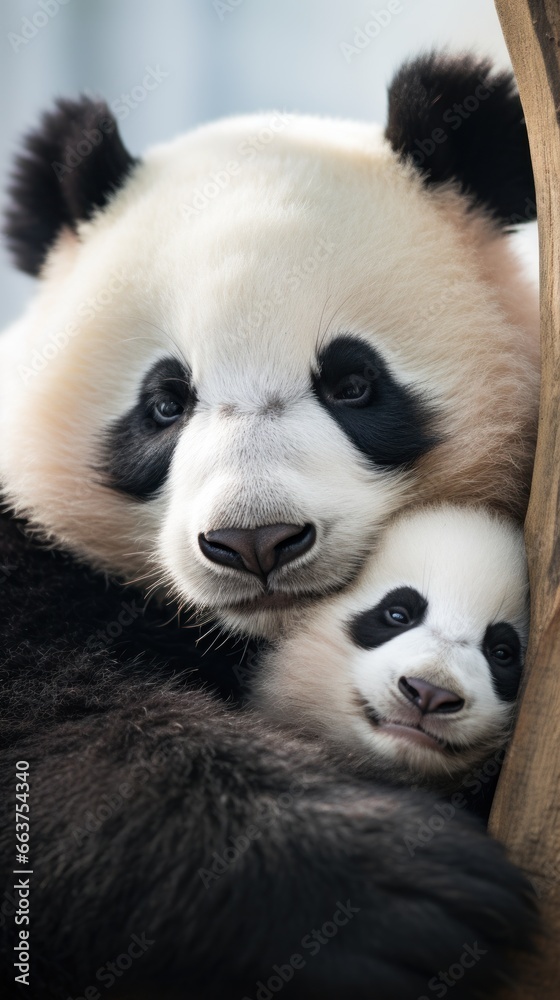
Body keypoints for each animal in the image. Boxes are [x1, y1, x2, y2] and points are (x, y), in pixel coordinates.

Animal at [0, 56, 540, 1000]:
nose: (256, 542)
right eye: (165, 403)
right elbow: (60, 733)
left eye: (353, 384)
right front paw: (394, 893)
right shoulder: (27, 559)